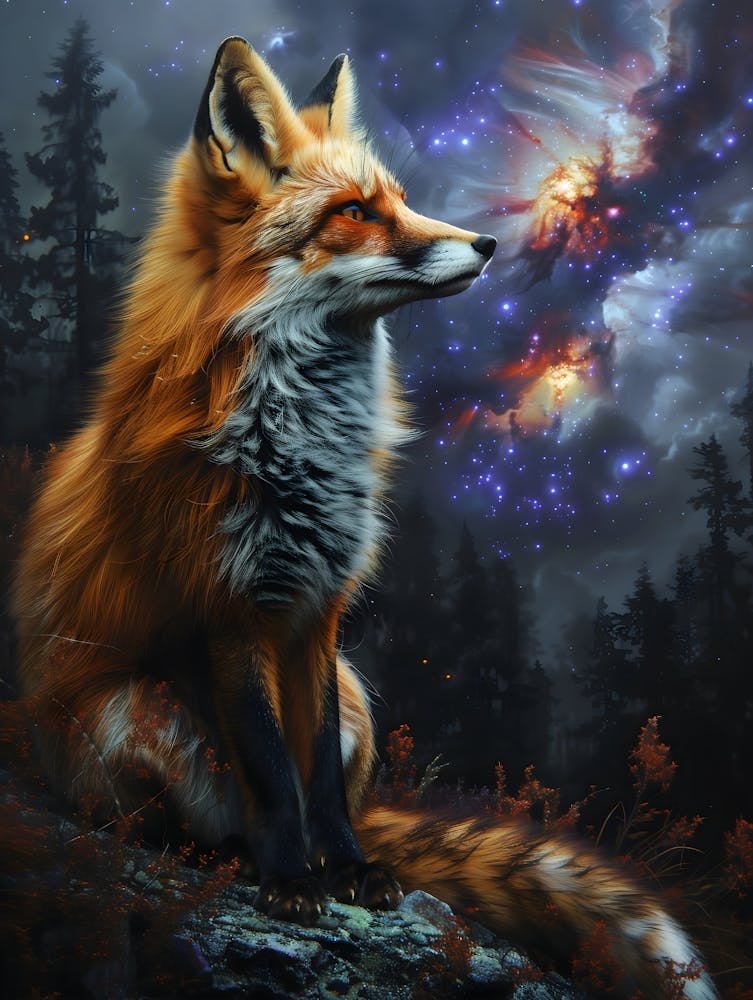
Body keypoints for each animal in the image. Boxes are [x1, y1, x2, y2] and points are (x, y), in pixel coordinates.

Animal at [12, 37, 716, 998]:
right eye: (354, 213)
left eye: (401, 199)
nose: (488, 243)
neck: (299, 447)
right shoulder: (231, 608)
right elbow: (272, 771)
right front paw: (291, 883)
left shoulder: (319, 614)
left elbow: (316, 779)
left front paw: (346, 871)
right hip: (133, 707)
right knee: (177, 821)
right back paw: (226, 858)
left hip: (355, 694)